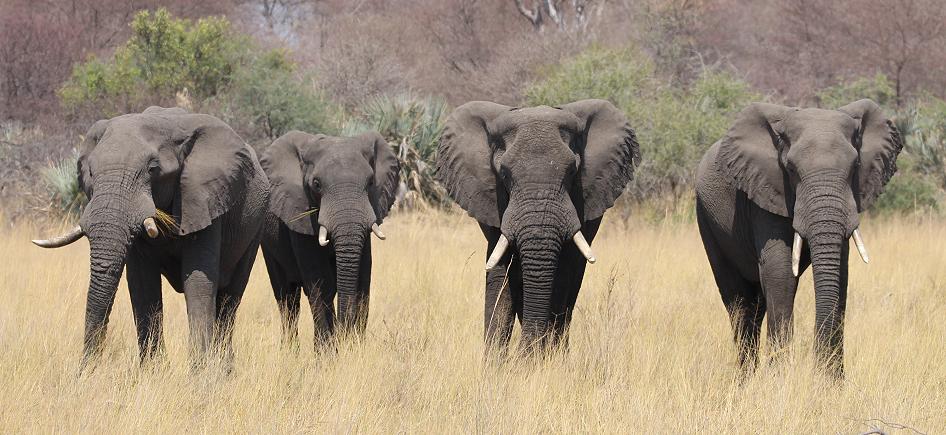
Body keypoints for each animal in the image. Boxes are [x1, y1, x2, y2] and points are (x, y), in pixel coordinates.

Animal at [32, 106, 270, 368]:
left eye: (153, 170)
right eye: (90, 172)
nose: (85, 370)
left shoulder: (202, 197)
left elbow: (198, 280)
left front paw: (200, 375)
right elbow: (142, 284)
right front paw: (153, 371)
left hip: (256, 226)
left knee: (229, 299)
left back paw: (222, 370)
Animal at [258, 129, 398, 344]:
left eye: (371, 182)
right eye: (316, 184)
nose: (344, 331)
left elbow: (363, 281)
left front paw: (354, 346)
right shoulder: (300, 216)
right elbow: (321, 284)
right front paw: (328, 350)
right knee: (287, 298)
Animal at [438, 99, 636, 354]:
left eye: (572, 171)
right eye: (504, 173)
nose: (523, 353)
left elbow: (561, 275)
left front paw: (541, 358)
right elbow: (501, 273)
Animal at [692, 99, 900, 378]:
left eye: (855, 167)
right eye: (791, 169)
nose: (817, 370)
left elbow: (840, 274)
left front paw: (830, 382)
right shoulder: (766, 191)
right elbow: (779, 273)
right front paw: (780, 379)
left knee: (757, 305)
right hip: (707, 219)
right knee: (739, 301)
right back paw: (746, 380)